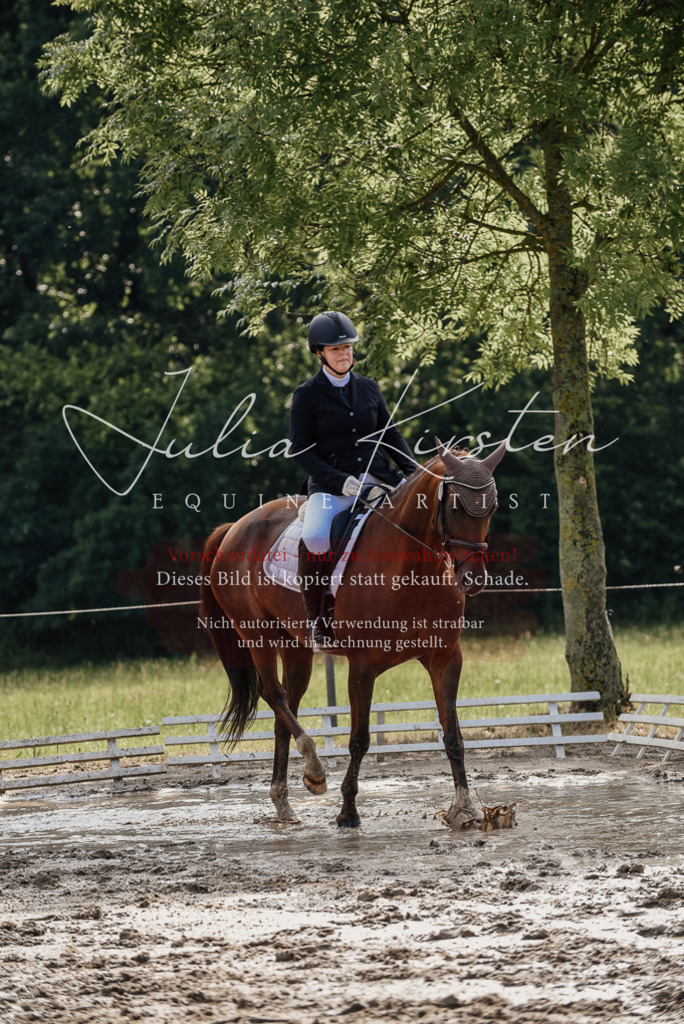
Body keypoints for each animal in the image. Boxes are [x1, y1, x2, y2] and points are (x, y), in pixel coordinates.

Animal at [198, 439, 506, 827]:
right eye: (454, 506)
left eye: (492, 507)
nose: (474, 579)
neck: (413, 568)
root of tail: (235, 527)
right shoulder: (362, 665)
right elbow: (359, 739)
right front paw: (348, 813)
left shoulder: (445, 659)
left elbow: (454, 737)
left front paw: (465, 808)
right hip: (258, 637)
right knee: (273, 694)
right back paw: (314, 768)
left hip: (297, 647)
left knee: (285, 710)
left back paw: (284, 801)